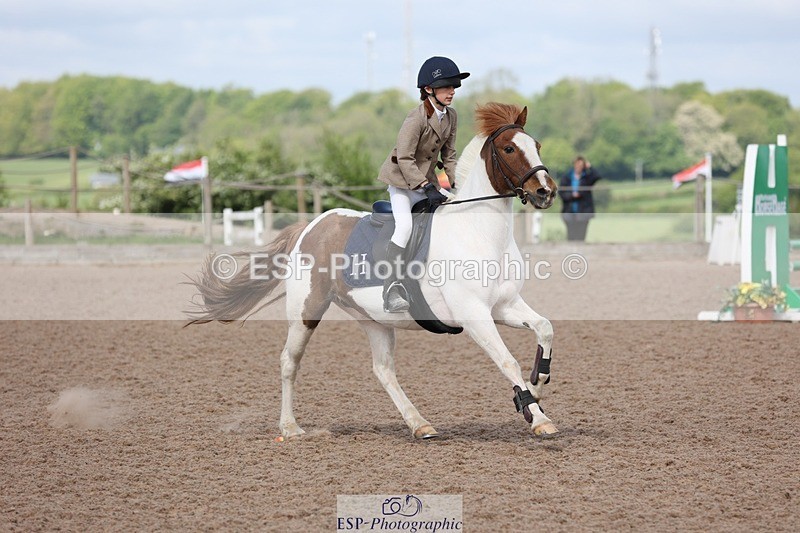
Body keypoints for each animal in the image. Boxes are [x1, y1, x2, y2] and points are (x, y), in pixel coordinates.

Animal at [187, 102, 559, 440]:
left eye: (537, 145)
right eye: (509, 148)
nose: (546, 192)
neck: (477, 230)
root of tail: (313, 225)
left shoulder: (503, 306)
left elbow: (545, 328)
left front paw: (536, 389)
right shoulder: (474, 314)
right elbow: (507, 361)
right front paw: (538, 417)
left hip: (374, 320)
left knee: (383, 370)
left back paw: (419, 424)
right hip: (306, 312)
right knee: (289, 361)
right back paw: (291, 428)